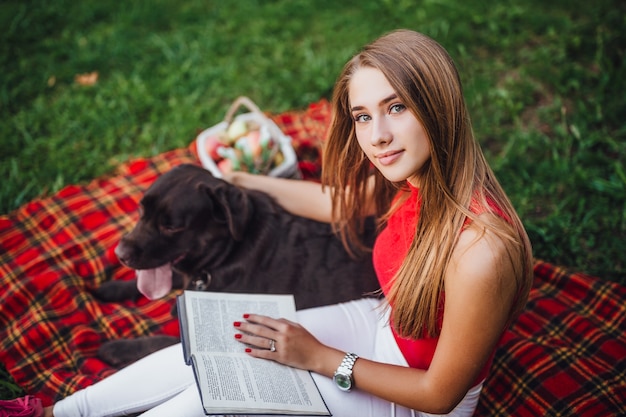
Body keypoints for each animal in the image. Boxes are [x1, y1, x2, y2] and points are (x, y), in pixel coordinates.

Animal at [95, 162, 378, 364]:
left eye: (172, 227)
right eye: (141, 209)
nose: (120, 253)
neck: (228, 251)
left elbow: (158, 342)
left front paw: (116, 349)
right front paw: (113, 288)